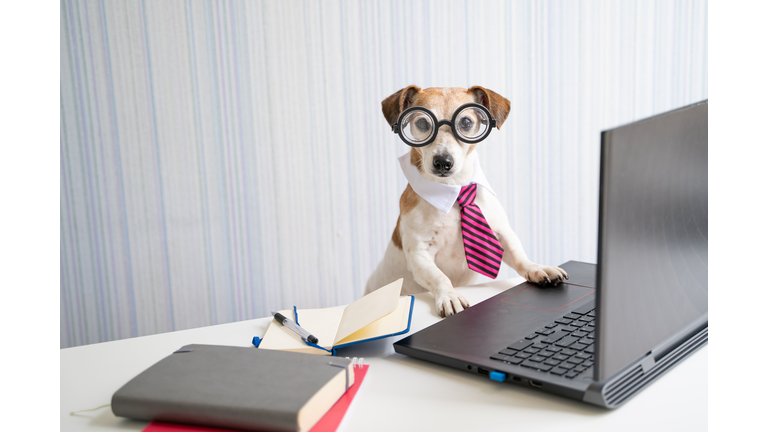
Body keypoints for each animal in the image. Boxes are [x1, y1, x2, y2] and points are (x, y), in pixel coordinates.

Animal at [366, 86, 568, 318]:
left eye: (465, 122)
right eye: (423, 123)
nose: (443, 162)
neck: (455, 190)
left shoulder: (501, 233)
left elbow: (519, 257)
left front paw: (537, 268)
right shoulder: (419, 254)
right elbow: (440, 277)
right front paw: (450, 295)